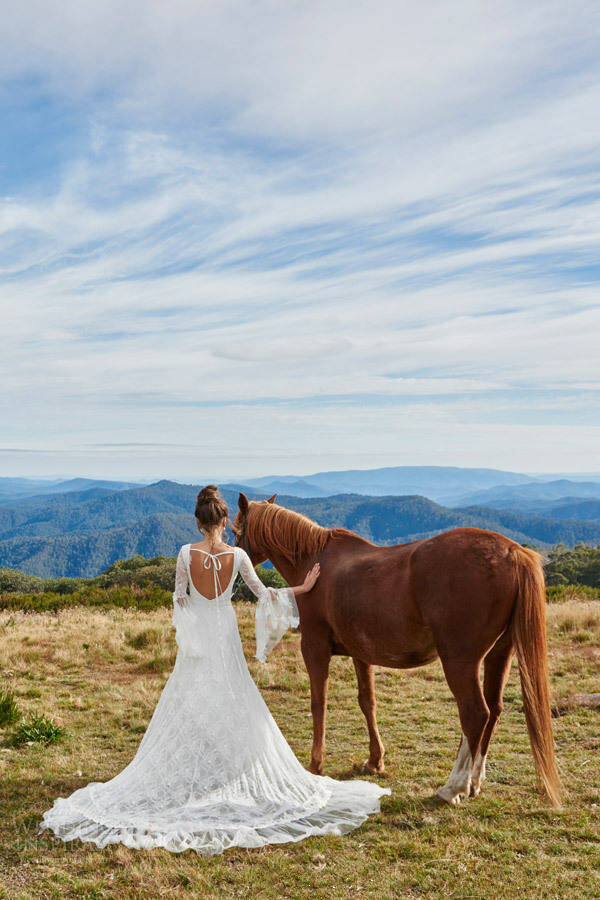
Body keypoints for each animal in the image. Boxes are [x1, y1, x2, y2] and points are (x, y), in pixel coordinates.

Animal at [232, 492, 560, 808]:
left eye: (236, 530)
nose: (235, 569)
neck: (315, 561)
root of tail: (512, 552)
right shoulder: (361, 655)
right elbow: (367, 702)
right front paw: (374, 761)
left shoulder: (314, 648)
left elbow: (318, 703)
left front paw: (316, 764)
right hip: (499, 656)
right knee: (493, 711)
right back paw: (474, 782)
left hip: (460, 662)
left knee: (475, 714)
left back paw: (453, 787)